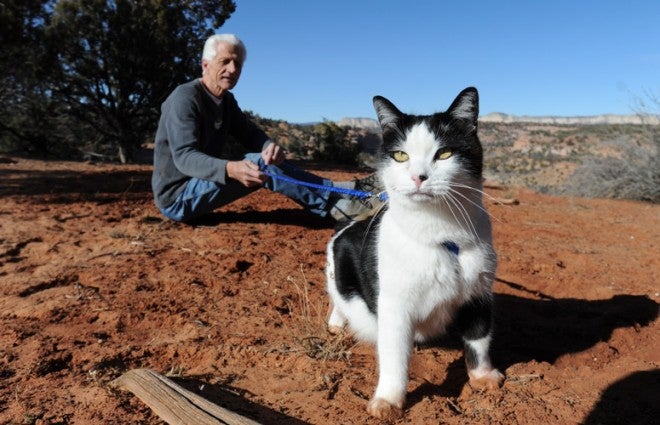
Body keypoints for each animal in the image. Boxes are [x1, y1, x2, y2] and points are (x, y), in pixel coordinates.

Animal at [326, 88, 506, 420]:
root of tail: (348, 225)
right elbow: (395, 357)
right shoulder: (395, 306)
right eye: (401, 155)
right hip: (337, 268)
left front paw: (483, 377)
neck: (443, 236)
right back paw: (337, 324)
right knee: (338, 300)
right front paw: (388, 401)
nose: (418, 177)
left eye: (444, 154)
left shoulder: (479, 291)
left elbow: (479, 339)